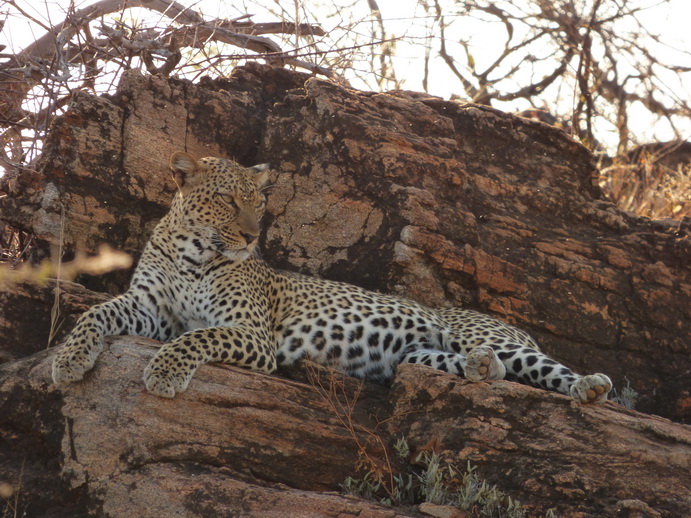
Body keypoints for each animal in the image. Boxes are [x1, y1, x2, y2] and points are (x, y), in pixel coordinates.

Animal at [52, 150, 612, 406]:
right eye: (229, 200)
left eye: (259, 203)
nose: (252, 236)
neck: (195, 252)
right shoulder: (148, 309)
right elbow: (95, 312)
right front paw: (69, 359)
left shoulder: (250, 333)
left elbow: (196, 338)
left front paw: (165, 372)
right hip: (416, 356)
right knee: (483, 368)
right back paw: (481, 368)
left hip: (488, 335)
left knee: (547, 370)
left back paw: (591, 387)